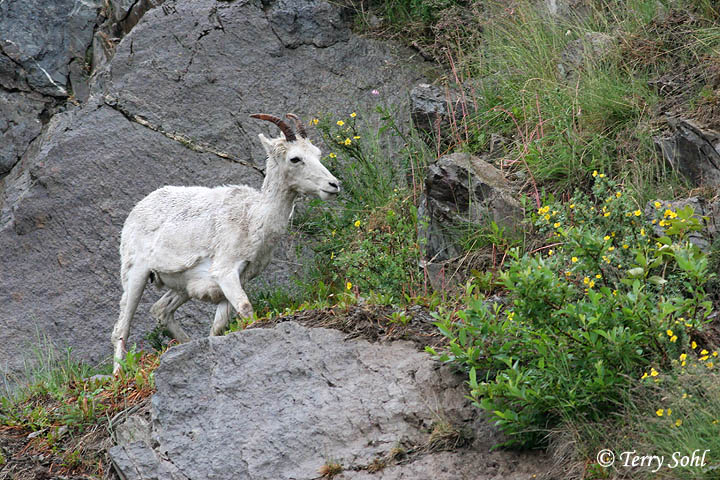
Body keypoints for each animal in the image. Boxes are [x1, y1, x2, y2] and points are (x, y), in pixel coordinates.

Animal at [111, 113, 340, 373]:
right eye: (295, 158)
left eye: (317, 154)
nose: (333, 185)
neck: (253, 219)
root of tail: (137, 210)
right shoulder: (226, 273)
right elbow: (246, 309)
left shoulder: (232, 282)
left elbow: (218, 326)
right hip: (135, 275)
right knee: (122, 327)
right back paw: (118, 375)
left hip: (182, 286)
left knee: (160, 310)